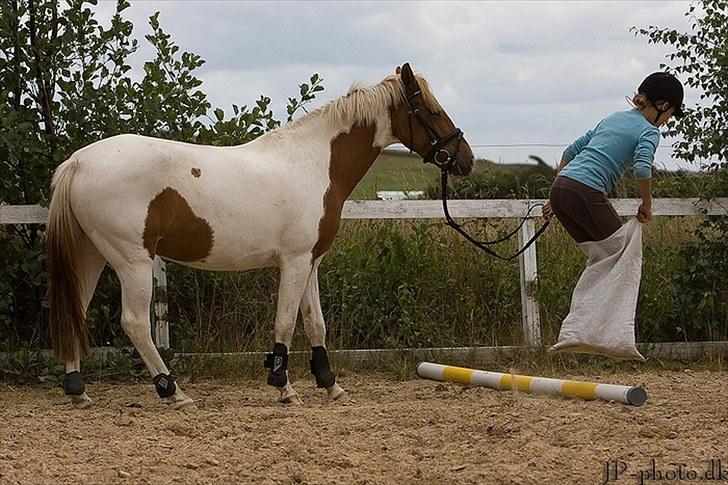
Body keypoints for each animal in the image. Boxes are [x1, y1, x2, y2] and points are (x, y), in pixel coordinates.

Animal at [48, 62, 474, 406]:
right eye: (432, 111)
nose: (466, 160)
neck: (313, 163)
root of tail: (78, 162)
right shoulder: (295, 261)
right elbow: (286, 321)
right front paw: (283, 385)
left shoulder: (311, 263)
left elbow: (315, 323)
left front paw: (330, 384)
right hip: (132, 261)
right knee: (135, 323)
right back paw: (174, 392)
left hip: (93, 255)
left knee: (75, 312)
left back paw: (78, 390)